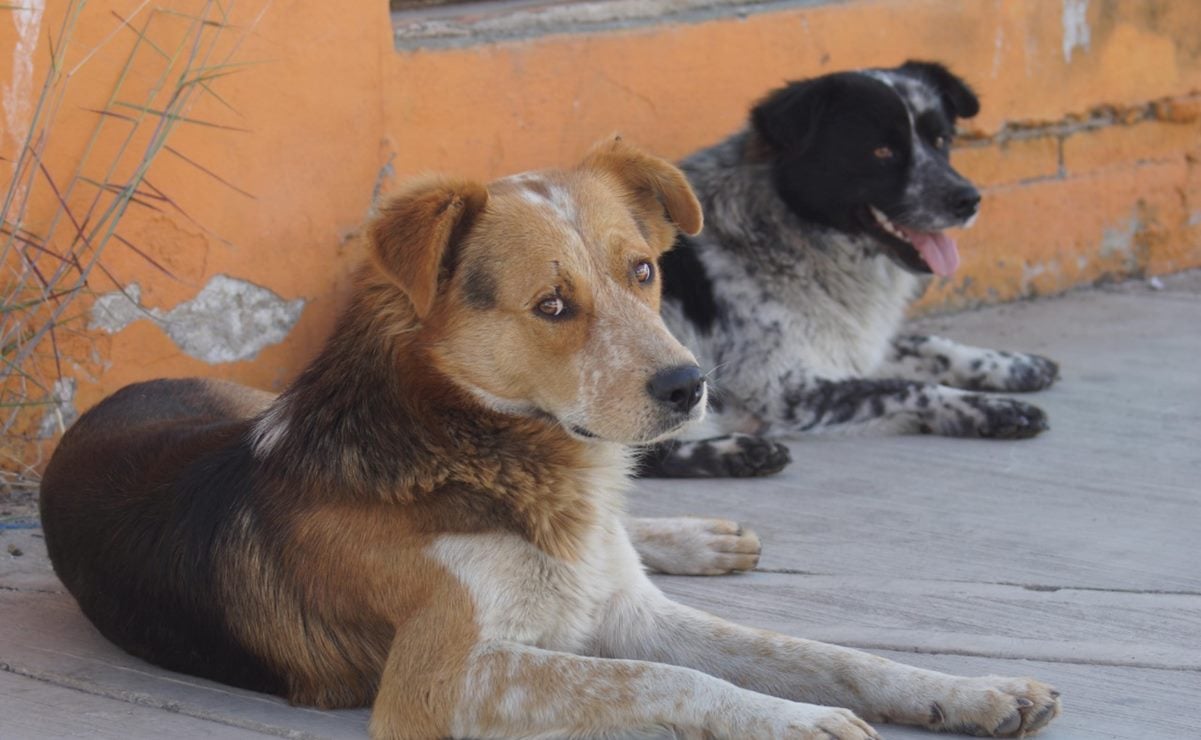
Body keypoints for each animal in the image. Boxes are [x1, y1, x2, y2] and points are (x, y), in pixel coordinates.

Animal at [37, 139, 1056, 740]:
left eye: (644, 271)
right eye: (553, 306)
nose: (691, 387)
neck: (497, 461)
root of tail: (111, 400)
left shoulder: (630, 611)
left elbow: (820, 654)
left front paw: (975, 693)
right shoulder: (440, 678)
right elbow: (654, 681)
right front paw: (800, 723)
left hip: (246, 399)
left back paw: (700, 535)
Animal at [643, 63, 1056, 480]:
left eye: (941, 140)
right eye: (881, 150)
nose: (968, 200)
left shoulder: (853, 344)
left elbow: (932, 343)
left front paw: (1016, 366)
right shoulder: (783, 389)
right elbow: (909, 387)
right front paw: (995, 408)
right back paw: (737, 452)